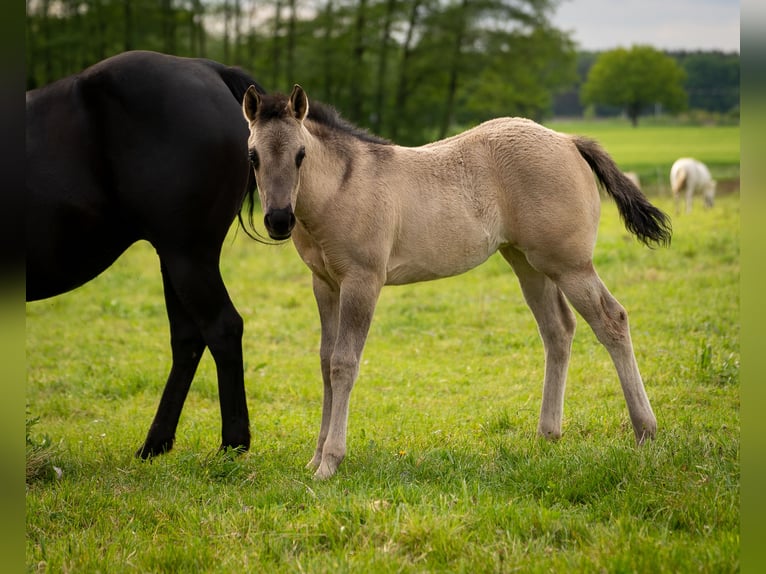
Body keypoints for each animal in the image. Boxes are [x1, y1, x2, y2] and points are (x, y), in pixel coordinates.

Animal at [26, 51, 267, 459]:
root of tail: (208, 69)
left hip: (188, 255)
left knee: (222, 328)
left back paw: (232, 442)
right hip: (175, 260)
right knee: (188, 338)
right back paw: (156, 442)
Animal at [241, 84, 672, 480]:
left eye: (301, 155)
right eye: (253, 156)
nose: (278, 220)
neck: (341, 187)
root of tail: (568, 140)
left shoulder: (362, 281)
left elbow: (344, 364)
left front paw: (330, 462)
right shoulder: (325, 285)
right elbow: (325, 361)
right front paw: (315, 457)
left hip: (570, 266)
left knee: (612, 320)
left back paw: (644, 431)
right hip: (527, 263)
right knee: (558, 330)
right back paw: (547, 434)